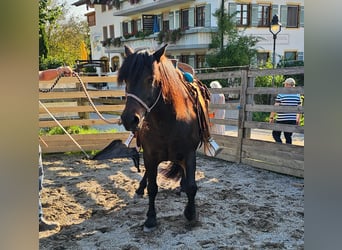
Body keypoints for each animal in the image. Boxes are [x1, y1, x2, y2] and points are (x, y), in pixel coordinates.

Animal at [120, 44, 211, 231]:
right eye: (126, 80)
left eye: (151, 79)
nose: (129, 119)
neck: (168, 121)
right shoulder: (149, 155)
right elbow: (152, 187)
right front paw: (150, 218)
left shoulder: (189, 153)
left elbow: (192, 186)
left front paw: (191, 213)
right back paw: (140, 188)